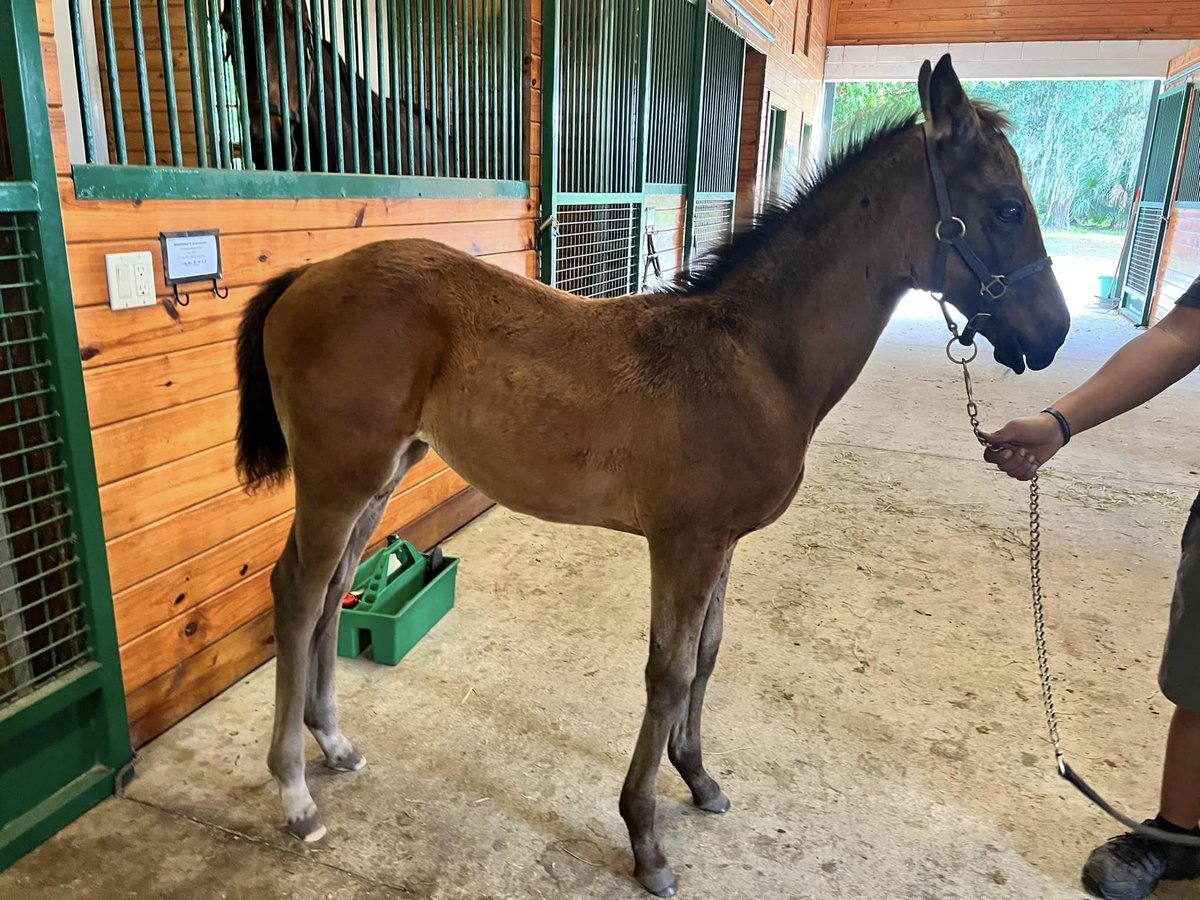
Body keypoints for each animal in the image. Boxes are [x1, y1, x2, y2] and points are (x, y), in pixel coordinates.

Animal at [233, 56, 1070, 896]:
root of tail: (310, 272)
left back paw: (335, 743)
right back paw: (297, 794)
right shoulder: (684, 544)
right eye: (1006, 208)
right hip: (338, 476)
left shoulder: (723, 543)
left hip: (382, 477)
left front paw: (697, 778)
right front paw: (646, 838)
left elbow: (707, 656)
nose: (1054, 333)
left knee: (336, 589)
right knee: (299, 594)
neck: (753, 358)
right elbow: (668, 672)